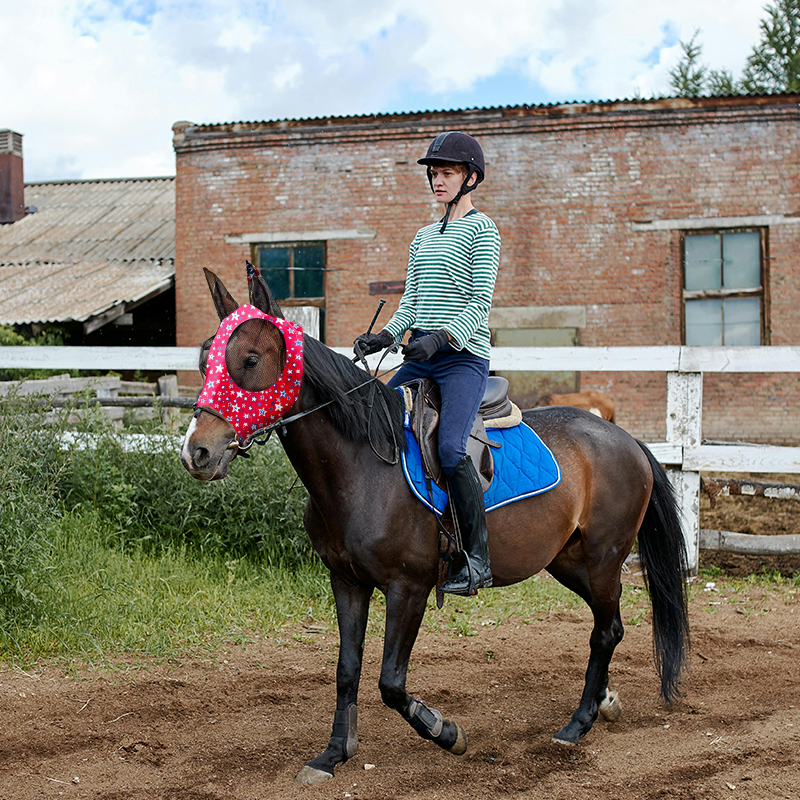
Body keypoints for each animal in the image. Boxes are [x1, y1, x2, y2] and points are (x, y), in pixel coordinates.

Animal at [181, 267, 689, 785]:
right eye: (204, 361)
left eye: (250, 359)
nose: (196, 452)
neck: (362, 465)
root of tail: (625, 438)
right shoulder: (346, 581)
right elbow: (347, 669)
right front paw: (333, 754)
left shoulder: (409, 588)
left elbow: (390, 681)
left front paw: (447, 732)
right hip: (568, 561)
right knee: (612, 625)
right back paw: (604, 702)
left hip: (604, 558)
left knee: (604, 632)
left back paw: (576, 725)